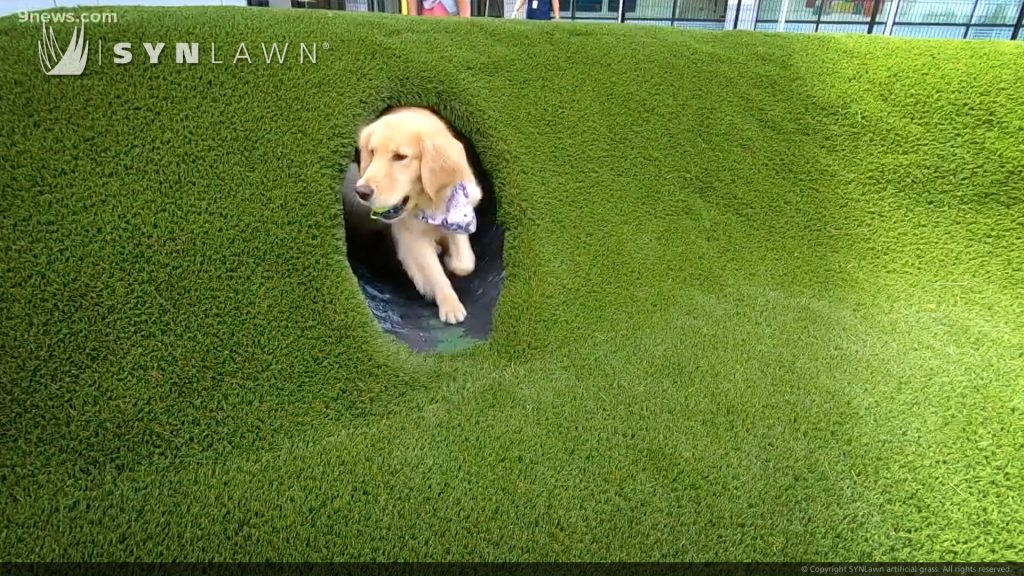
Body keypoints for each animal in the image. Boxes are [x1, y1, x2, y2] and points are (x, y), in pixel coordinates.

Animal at [350, 107, 481, 323]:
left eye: (400, 157)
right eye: (372, 152)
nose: (361, 191)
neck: (428, 203)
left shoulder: (461, 205)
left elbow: (464, 262)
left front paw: (453, 261)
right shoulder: (412, 236)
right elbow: (435, 272)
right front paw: (449, 304)